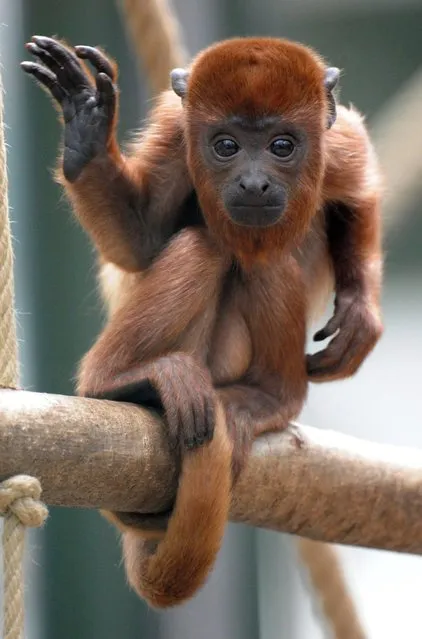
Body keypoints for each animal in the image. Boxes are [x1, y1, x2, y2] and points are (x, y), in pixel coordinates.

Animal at [21, 35, 384, 608]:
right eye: (226, 146)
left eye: (283, 146)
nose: (254, 183)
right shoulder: (177, 133)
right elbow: (141, 237)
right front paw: (87, 129)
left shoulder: (338, 144)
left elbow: (361, 188)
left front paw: (361, 313)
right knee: (203, 245)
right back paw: (117, 380)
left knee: (264, 258)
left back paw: (272, 395)